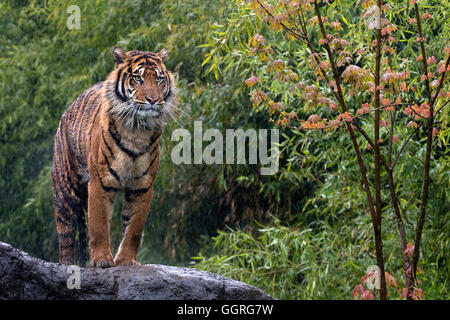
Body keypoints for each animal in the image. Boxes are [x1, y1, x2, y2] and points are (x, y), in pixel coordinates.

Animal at [52, 46, 178, 266]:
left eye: (159, 80)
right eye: (138, 78)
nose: (153, 100)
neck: (137, 129)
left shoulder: (142, 186)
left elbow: (133, 229)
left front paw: (126, 260)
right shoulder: (100, 182)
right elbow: (99, 225)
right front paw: (102, 260)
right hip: (65, 191)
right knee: (66, 234)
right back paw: (67, 265)